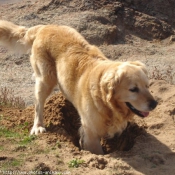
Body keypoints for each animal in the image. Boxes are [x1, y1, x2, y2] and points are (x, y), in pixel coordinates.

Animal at [0, 20, 157, 154]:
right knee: (39, 104)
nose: (154, 104)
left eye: (147, 85)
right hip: (45, 80)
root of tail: (45, 26)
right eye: (133, 89)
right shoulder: (90, 132)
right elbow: (97, 151)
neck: (106, 103)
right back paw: (38, 127)